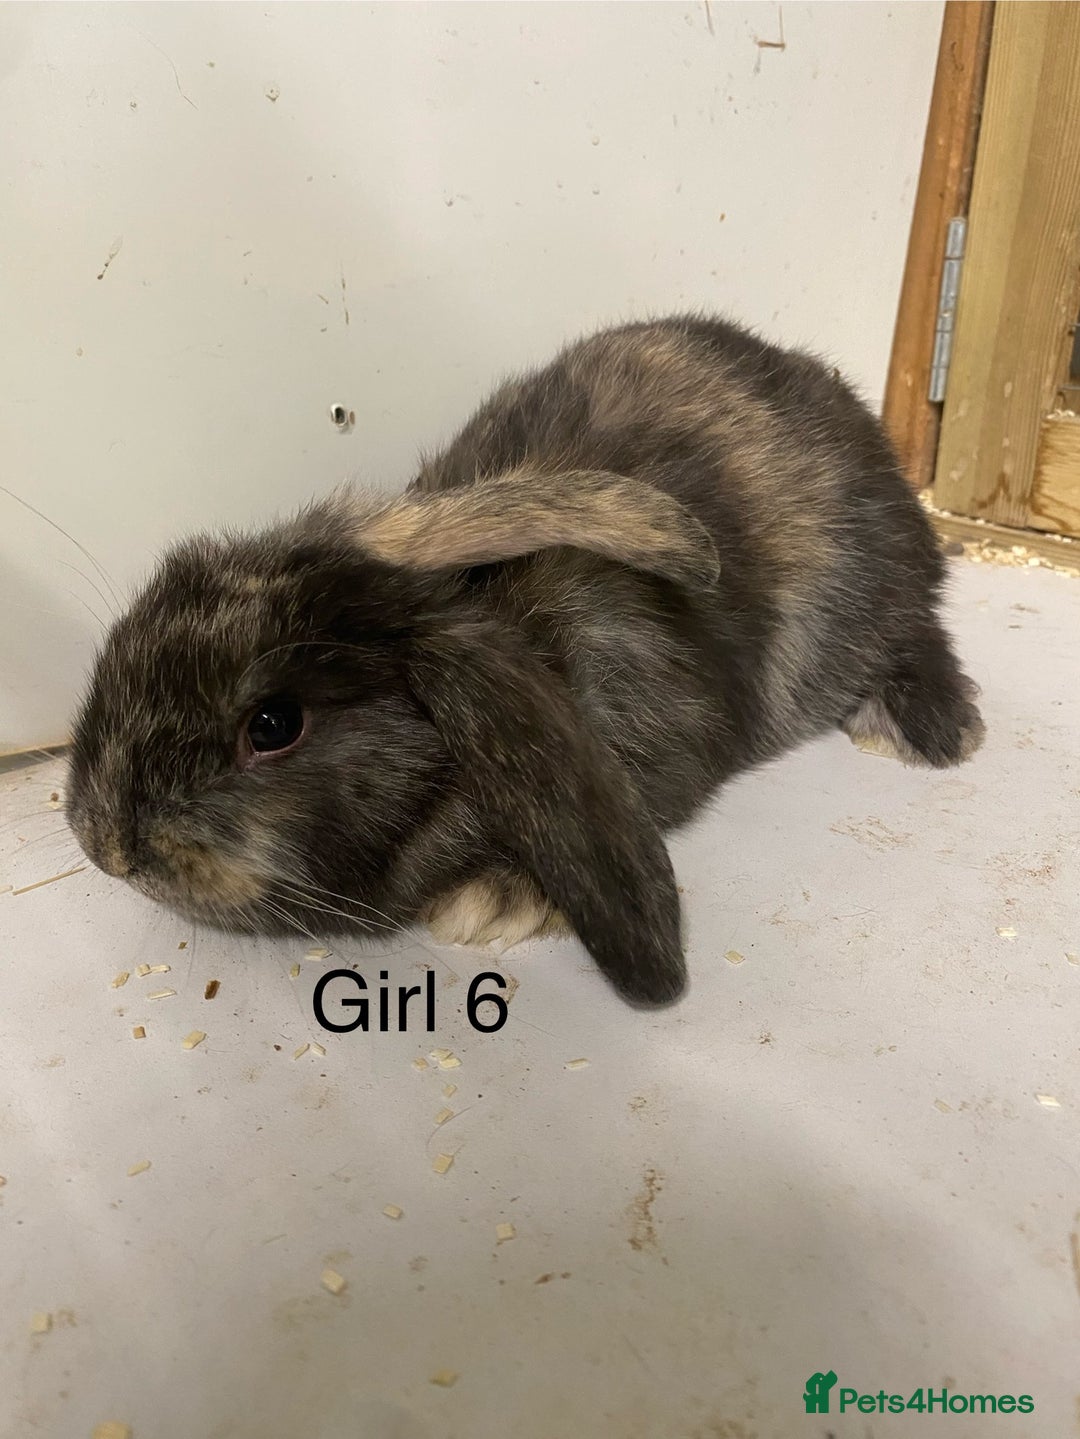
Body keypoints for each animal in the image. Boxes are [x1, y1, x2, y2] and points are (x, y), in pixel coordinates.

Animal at [67, 314, 984, 1007]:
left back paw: (929, 726)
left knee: (917, 628)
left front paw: (498, 897)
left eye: (272, 724)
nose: (103, 844)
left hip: (869, 594)